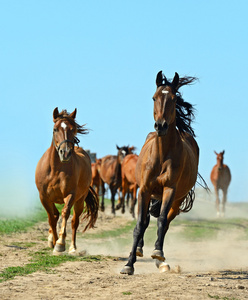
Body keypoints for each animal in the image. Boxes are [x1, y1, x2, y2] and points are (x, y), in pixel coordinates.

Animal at [35, 107, 99, 253]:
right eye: (55, 129)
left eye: (73, 129)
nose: (65, 153)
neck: (55, 170)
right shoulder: (44, 197)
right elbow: (52, 218)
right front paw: (53, 241)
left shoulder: (70, 195)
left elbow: (65, 213)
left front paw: (60, 244)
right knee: (55, 215)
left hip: (80, 200)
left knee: (74, 221)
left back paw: (73, 248)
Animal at [120, 69, 200, 274]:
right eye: (154, 97)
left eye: (173, 98)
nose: (161, 125)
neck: (162, 154)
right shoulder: (144, 190)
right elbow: (141, 223)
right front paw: (129, 264)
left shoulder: (169, 190)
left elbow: (162, 221)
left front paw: (158, 253)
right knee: (146, 220)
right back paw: (139, 249)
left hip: (177, 200)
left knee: (165, 224)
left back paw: (160, 260)